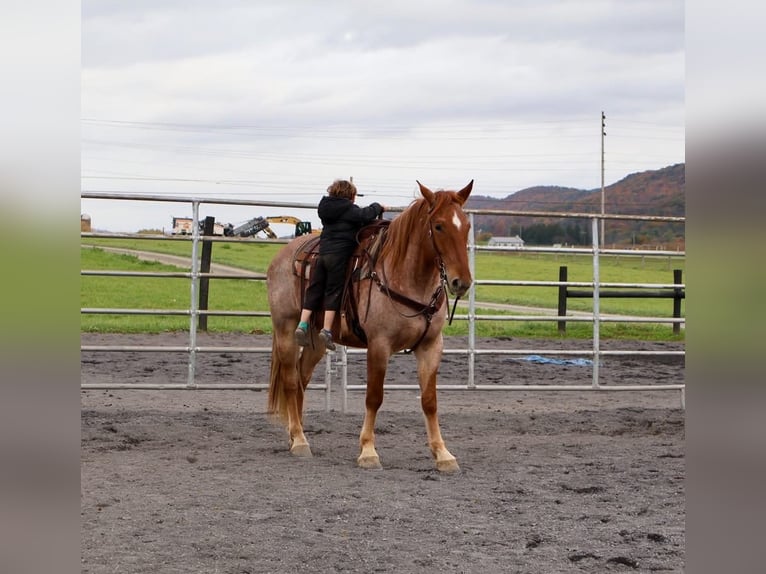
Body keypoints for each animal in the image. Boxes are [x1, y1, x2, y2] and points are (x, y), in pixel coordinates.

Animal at [266, 180, 473, 472]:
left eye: (466, 225)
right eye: (439, 225)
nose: (461, 282)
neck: (406, 278)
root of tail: (281, 257)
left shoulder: (432, 346)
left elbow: (429, 401)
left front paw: (443, 454)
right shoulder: (378, 345)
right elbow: (374, 397)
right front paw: (368, 451)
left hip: (316, 341)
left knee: (301, 378)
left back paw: (296, 434)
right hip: (285, 330)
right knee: (291, 381)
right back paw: (299, 441)